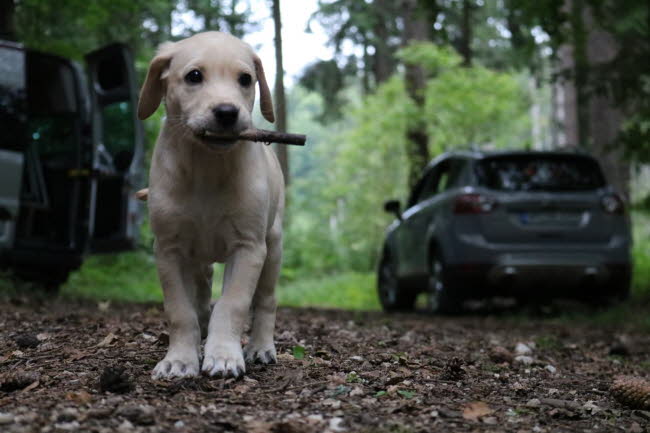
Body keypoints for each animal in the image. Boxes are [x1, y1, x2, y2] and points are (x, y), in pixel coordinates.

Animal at [138, 32, 282, 378]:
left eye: (245, 79)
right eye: (194, 76)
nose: (228, 112)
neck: (206, 166)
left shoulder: (248, 247)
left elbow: (232, 304)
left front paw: (225, 356)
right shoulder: (169, 249)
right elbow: (180, 311)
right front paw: (179, 359)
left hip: (273, 245)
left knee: (266, 301)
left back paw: (261, 347)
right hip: (199, 259)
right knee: (202, 296)